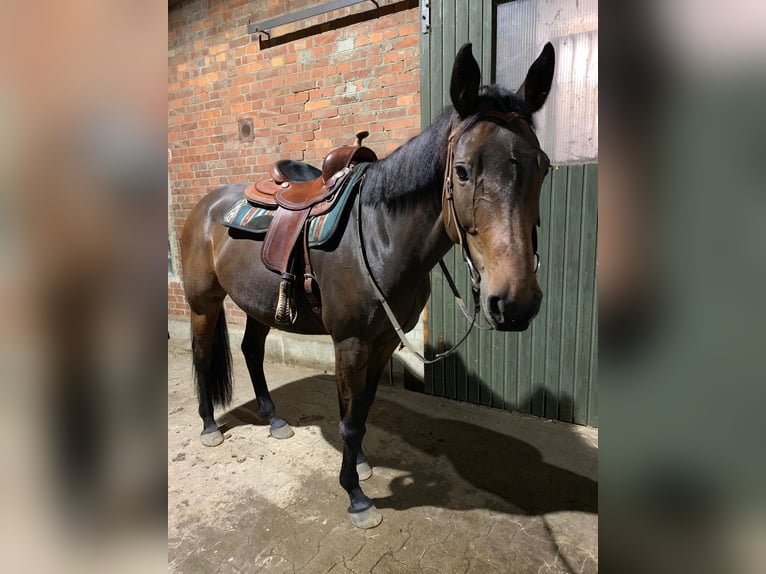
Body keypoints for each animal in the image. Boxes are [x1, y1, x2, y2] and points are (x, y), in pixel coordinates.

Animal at [180, 42, 555, 529]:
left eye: (543, 167)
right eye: (462, 170)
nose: (515, 303)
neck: (381, 235)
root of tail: (205, 206)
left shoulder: (382, 343)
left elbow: (362, 409)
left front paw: (358, 464)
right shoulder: (352, 343)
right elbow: (349, 419)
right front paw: (356, 495)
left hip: (259, 303)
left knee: (251, 351)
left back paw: (275, 420)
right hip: (203, 303)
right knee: (203, 355)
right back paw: (209, 425)